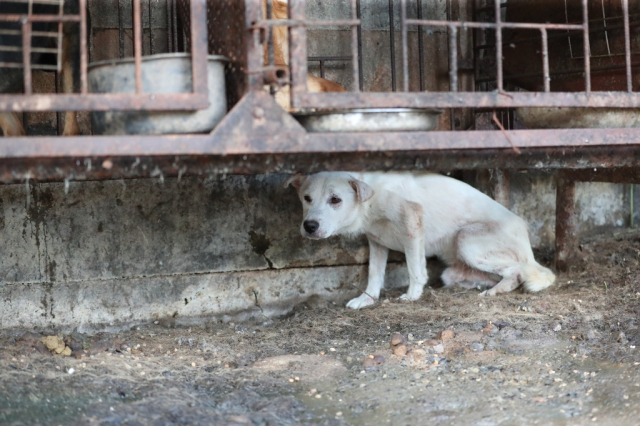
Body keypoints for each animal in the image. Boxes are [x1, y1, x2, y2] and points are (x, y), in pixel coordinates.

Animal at [284, 172, 556, 310]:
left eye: (335, 200)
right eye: (306, 198)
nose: (309, 226)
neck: (370, 203)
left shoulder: (413, 224)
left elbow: (415, 269)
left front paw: (412, 295)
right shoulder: (376, 242)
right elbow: (374, 275)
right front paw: (366, 299)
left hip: (465, 240)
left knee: (518, 272)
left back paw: (497, 290)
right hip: (455, 267)